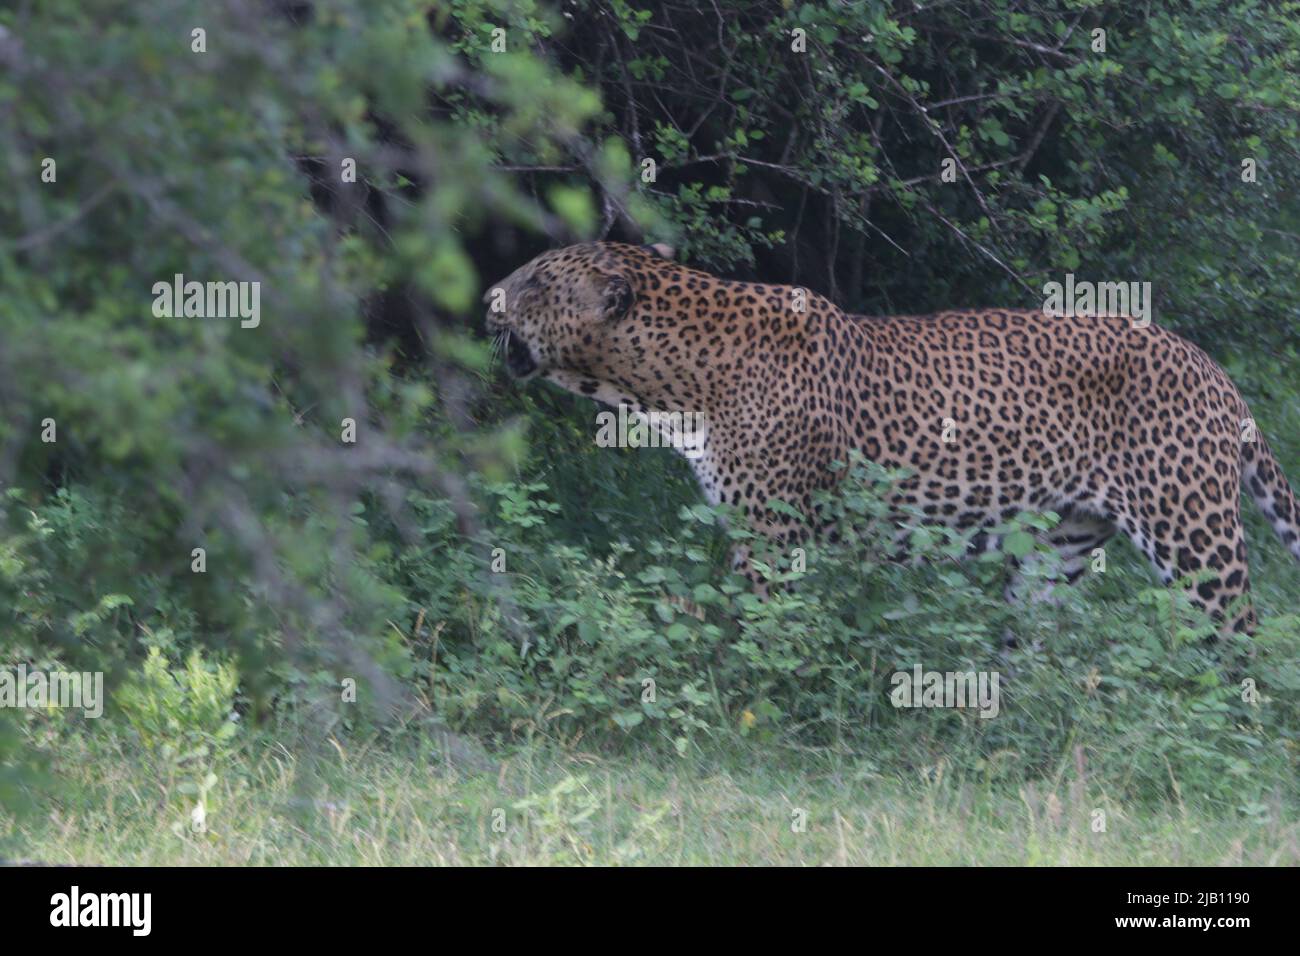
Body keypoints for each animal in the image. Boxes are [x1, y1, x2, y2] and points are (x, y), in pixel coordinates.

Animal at [486, 240, 1300, 634]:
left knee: (1239, 639)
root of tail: (1216, 372)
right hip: (1058, 547)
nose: (490, 294)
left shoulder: (771, 533)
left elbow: (757, 631)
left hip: (1193, 537)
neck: (669, 382)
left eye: (536, 283)